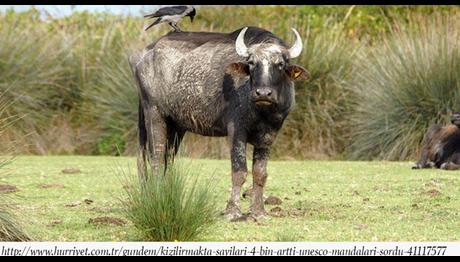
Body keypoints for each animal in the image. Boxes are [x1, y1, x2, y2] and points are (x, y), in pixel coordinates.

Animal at [129, 26, 310, 219]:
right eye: (252, 63)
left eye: (280, 64)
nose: (263, 93)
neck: (262, 112)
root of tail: (144, 55)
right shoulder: (236, 130)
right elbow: (239, 171)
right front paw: (233, 211)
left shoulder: (269, 135)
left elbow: (260, 174)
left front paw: (258, 211)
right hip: (153, 114)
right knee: (156, 158)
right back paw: (156, 196)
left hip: (176, 125)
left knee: (168, 159)